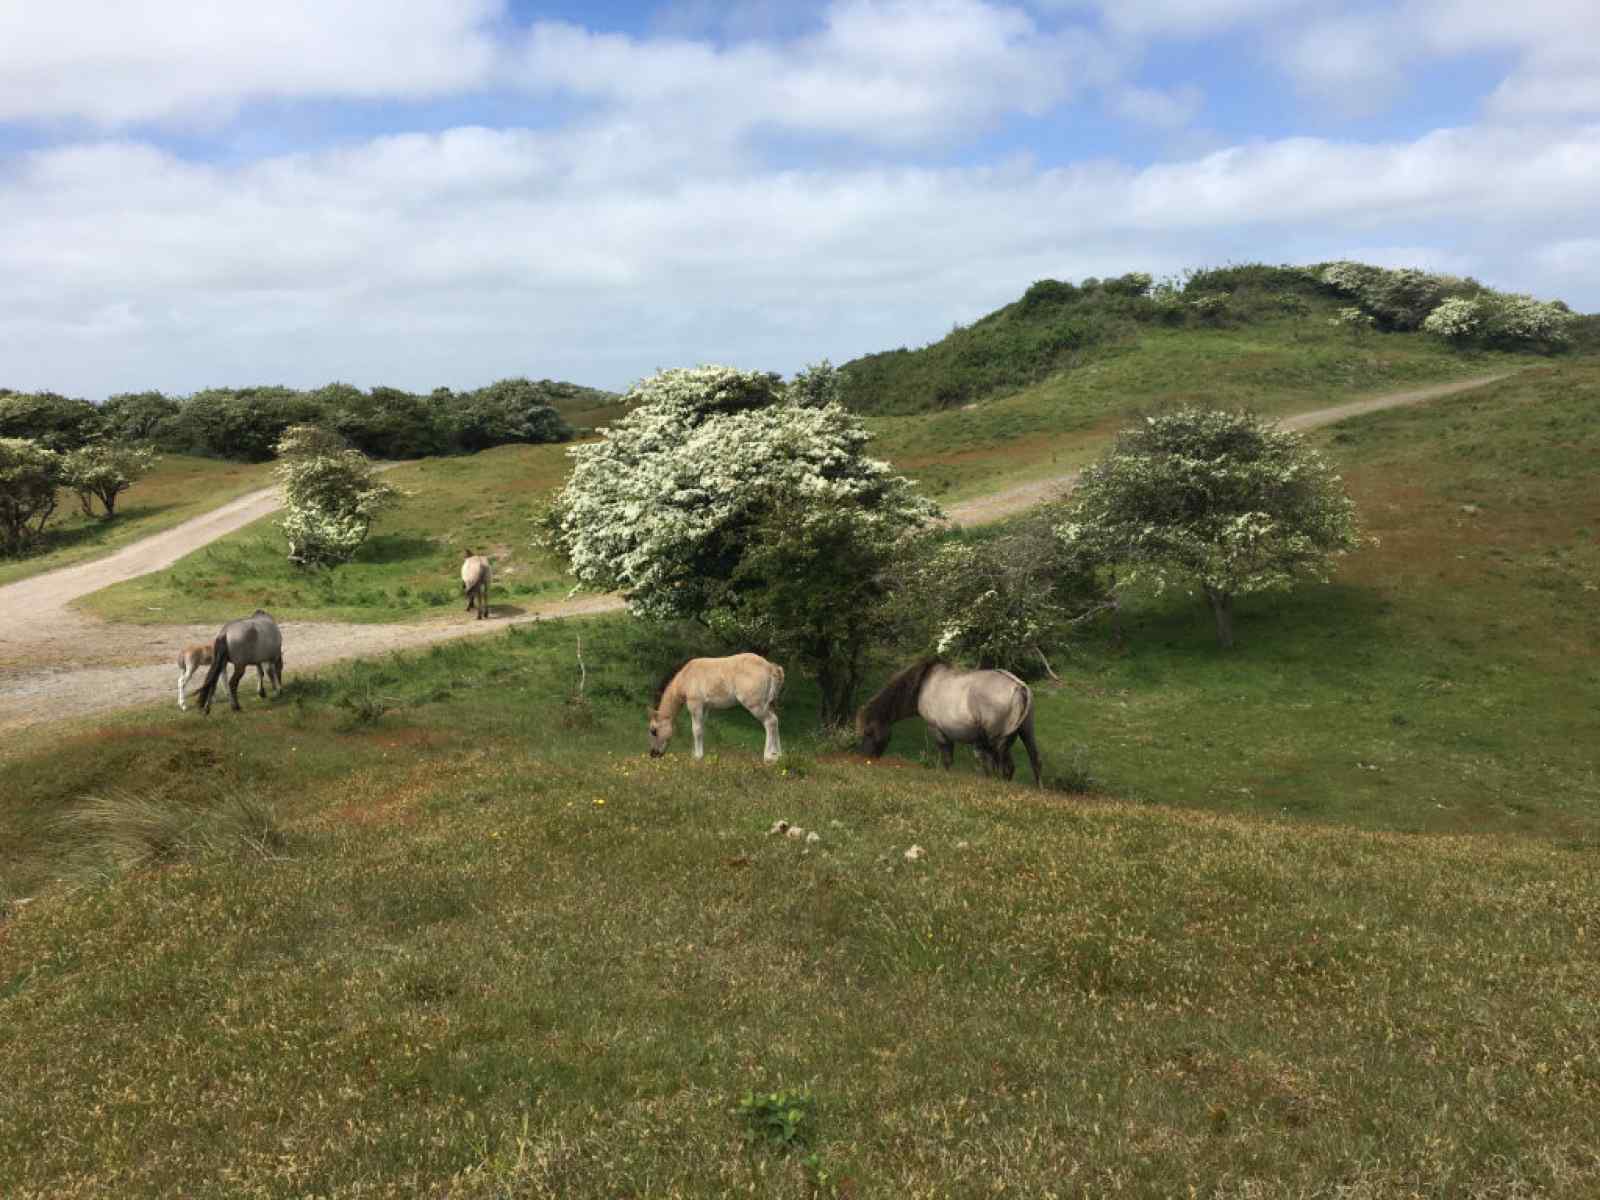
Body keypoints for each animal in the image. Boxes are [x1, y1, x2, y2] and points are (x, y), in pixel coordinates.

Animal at [649, 652, 787, 764]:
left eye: (653, 731)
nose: (653, 754)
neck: (686, 676)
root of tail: (770, 667)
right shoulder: (705, 708)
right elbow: (701, 729)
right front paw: (696, 754)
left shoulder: (695, 705)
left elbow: (696, 730)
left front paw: (698, 756)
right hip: (769, 704)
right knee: (776, 721)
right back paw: (778, 755)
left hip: (756, 705)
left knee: (770, 722)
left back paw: (768, 757)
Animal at [857, 659, 1043, 790]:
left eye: (868, 732)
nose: (865, 758)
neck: (923, 684)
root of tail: (1019, 687)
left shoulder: (938, 731)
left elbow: (947, 760)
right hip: (1026, 733)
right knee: (1035, 762)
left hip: (999, 742)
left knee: (1006, 768)